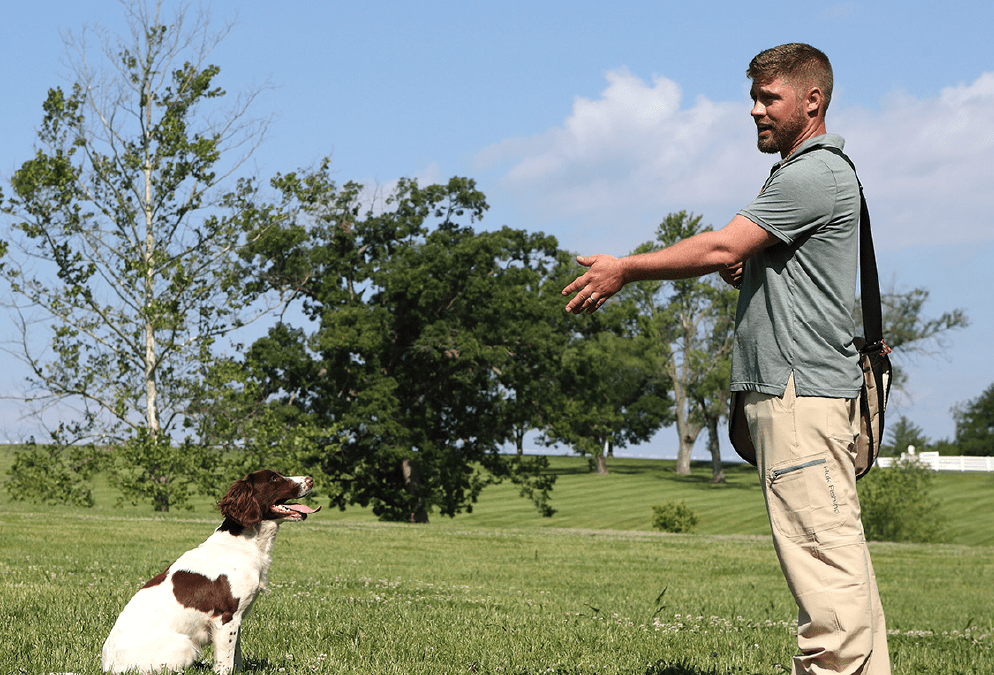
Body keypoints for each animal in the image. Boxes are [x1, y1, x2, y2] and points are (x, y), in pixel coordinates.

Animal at [101, 472, 320, 672]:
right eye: (274, 479)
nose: (310, 479)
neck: (245, 541)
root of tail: (108, 665)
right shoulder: (225, 617)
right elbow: (225, 663)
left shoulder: (237, 618)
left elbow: (236, 657)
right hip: (185, 645)